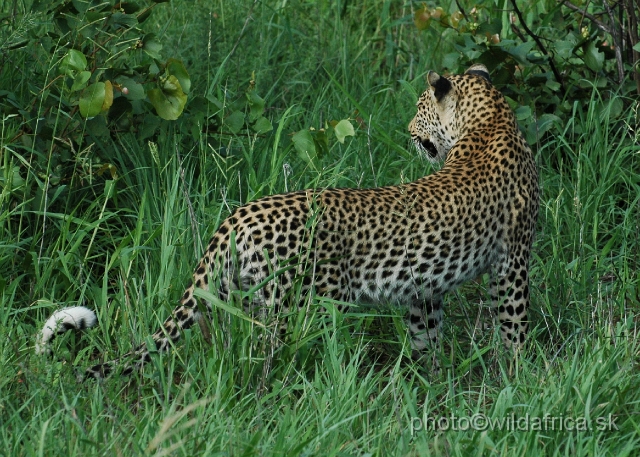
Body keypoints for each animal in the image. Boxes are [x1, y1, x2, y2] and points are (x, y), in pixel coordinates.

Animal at [38, 63, 540, 378]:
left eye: (419, 109)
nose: (410, 132)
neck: (489, 120)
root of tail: (241, 213)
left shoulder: (433, 285)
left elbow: (429, 336)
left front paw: (435, 382)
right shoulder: (512, 260)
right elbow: (513, 325)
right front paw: (519, 378)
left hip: (246, 294)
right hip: (299, 305)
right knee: (269, 359)